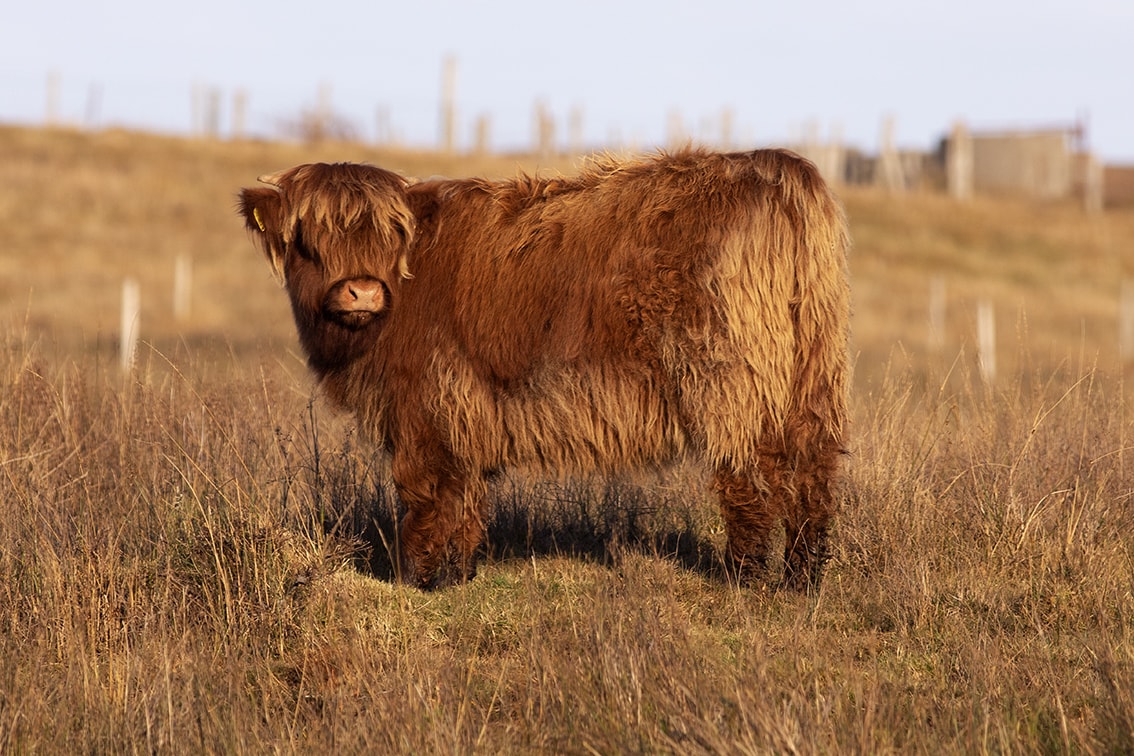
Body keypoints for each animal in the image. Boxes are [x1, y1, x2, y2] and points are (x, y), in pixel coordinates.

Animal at [239, 149, 852, 589]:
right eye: (311, 238)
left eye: (392, 235)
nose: (362, 291)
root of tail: (777, 165)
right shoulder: (470, 409)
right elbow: (467, 494)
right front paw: (459, 574)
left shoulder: (428, 403)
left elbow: (429, 491)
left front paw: (418, 579)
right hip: (813, 372)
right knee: (813, 469)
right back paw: (802, 577)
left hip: (730, 380)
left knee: (749, 469)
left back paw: (745, 577)